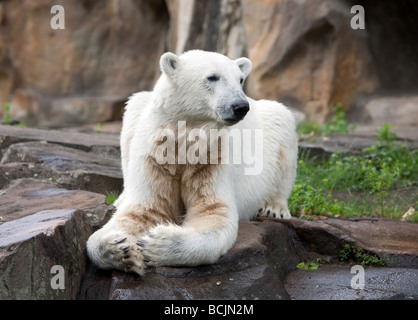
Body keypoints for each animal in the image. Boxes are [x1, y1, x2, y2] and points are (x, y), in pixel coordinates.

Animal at [87, 50, 298, 276]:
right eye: (212, 77)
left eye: (240, 79)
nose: (240, 107)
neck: (185, 141)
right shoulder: (155, 156)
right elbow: (143, 210)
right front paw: (121, 248)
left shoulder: (211, 158)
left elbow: (213, 211)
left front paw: (158, 242)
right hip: (138, 110)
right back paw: (122, 197)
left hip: (271, 124)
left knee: (283, 127)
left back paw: (274, 208)